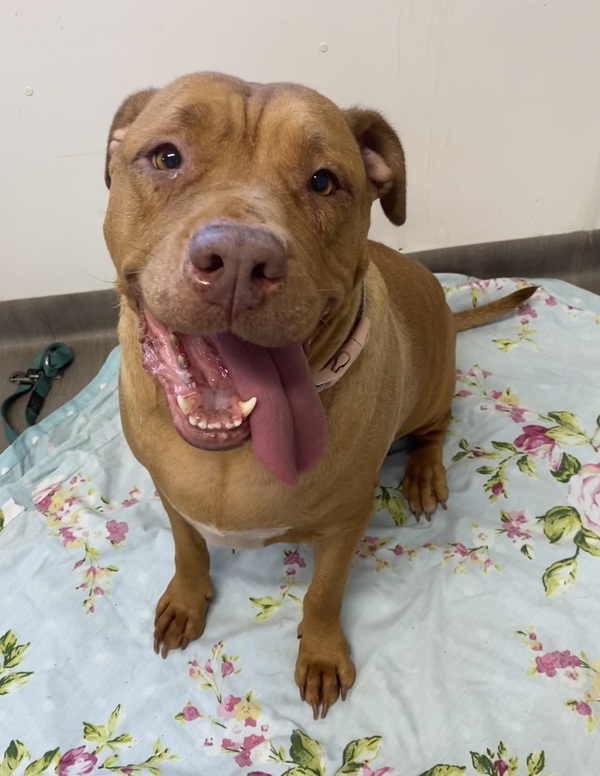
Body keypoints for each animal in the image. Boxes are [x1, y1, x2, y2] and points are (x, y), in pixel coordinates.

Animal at [103, 72, 533, 719]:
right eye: (167, 156)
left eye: (323, 181)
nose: (238, 259)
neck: (234, 452)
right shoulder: (172, 495)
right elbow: (188, 549)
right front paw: (186, 598)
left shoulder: (346, 522)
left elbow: (324, 594)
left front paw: (324, 654)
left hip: (433, 388)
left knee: (435, 430)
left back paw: (423, 476)